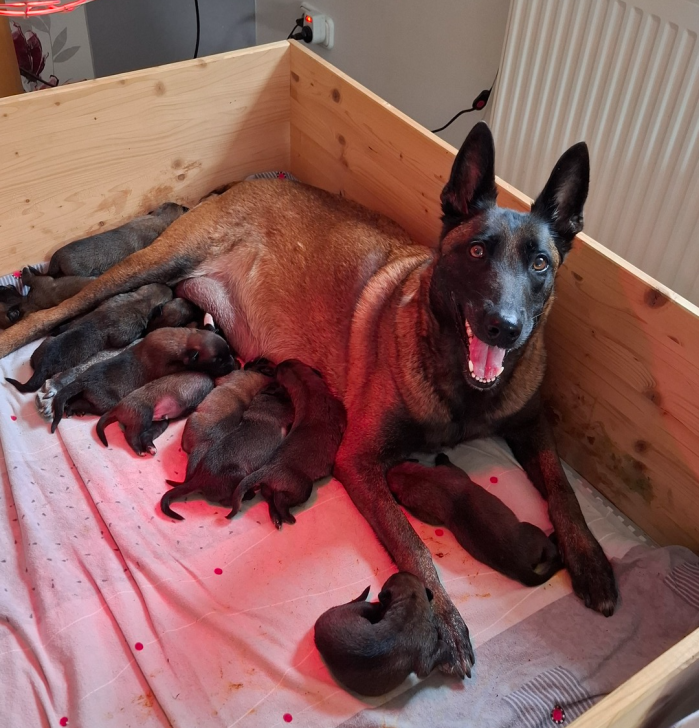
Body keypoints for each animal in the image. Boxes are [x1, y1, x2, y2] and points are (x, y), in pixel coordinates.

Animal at [6, 284, 173, 393]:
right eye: (169, 297)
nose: (168, 285)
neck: (143, 299)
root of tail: (42, 365)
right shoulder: (125, 331)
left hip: (43, 347)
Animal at [51, 327, 235, 432]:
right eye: (218, 360)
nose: (235, 364)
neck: (184, 341)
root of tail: (83, 380)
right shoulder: (168, 365)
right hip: (106, 402)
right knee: (86, 404)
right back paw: (74, 408)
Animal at [161, 379, 294, 520]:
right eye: (280, 386)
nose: (282, 383)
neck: (262, 398)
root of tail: (198, 479)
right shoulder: (283, 412)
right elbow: (290, 410)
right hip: (238, 474)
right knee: (226, 501)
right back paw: (249, 494)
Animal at [229, 359, 346, 528]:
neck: (307, 388)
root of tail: (267, 470)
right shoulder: (339, 410)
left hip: (268, 487)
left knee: (269, 499)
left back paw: (276, 518)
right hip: (303, 486)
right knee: (280, 499)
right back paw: (288, 517)